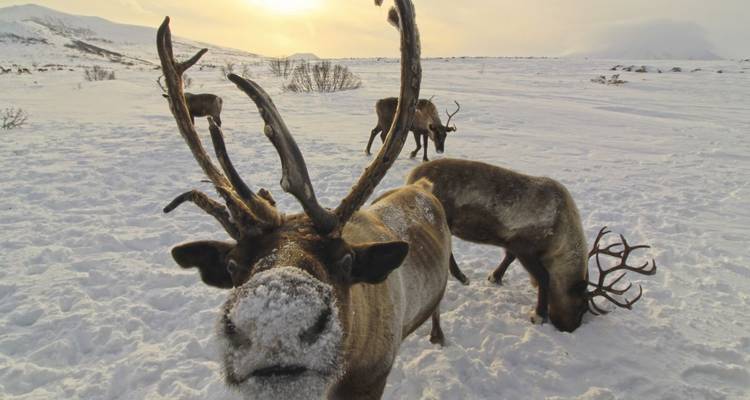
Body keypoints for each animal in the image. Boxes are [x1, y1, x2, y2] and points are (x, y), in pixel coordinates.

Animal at [157, 1, 452, 399]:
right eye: (232, 265)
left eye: (346, 260)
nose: (274, 328)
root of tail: (423, 187)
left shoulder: (372, 378)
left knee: (437, 307)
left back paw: (437, 335)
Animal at [407, 158, 657, 332]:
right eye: (581, 305)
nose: (568, 329)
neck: (561, 237)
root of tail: (412, 176)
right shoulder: (525, 246)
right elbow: (543, 277)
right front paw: (539, 315)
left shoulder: (514, 244)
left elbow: (508, 258)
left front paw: (495, 277)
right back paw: (461, 276)